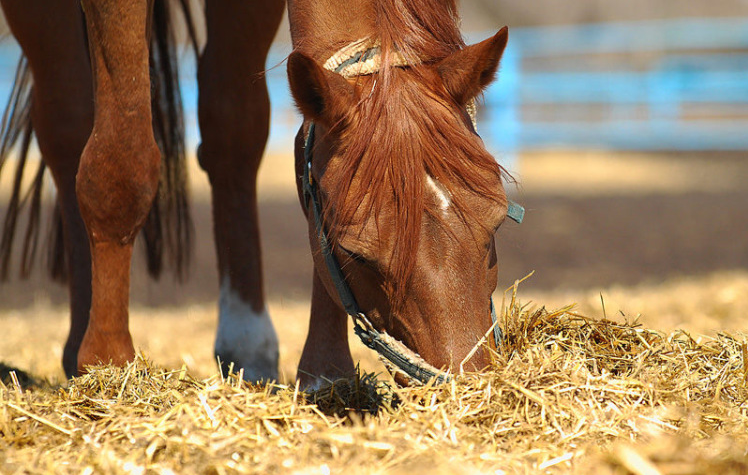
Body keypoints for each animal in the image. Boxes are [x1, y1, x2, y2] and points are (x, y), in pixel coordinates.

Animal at [0, 0, 512, 388]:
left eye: (497, 224)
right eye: (356, 253)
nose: (469, 385)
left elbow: (249, 134)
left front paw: (324, 372)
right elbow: (121, 166)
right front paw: (109, 362)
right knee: (66, 124)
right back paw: (81, 347)